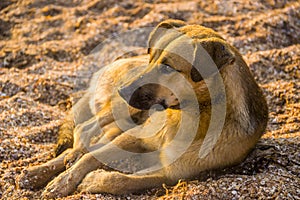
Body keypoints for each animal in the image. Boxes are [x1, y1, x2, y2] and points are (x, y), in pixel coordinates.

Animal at [17, 19, 268, 198]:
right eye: (152, 57)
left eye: (167, 67)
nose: (123, 90)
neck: (191, 114)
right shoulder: (137, 135)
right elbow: (91, 157)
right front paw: (62, 182)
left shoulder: (173, 172)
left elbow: (122, 180)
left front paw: (93, 180)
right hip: (122, 113)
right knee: (84, 133)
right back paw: (38, 171)